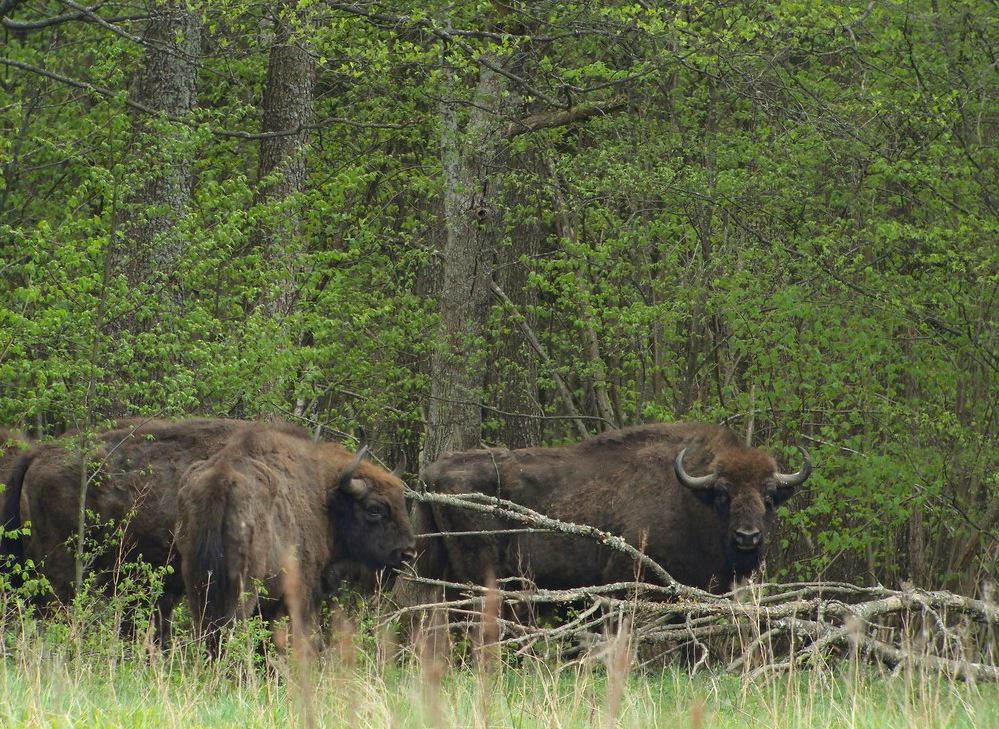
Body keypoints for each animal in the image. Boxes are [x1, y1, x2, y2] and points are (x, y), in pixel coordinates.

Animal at [178, 420, 416, 648]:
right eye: (374, 509)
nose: (407, 553)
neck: (325, 498)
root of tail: (222, 481)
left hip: (197, 588)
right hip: (244, 591)